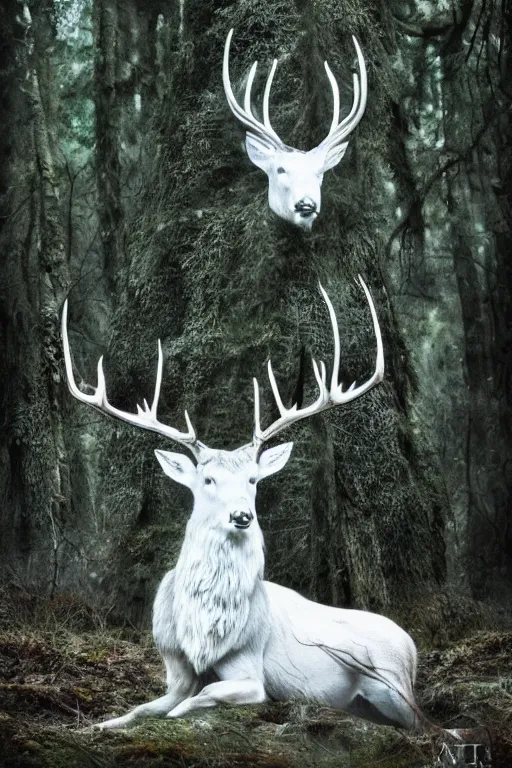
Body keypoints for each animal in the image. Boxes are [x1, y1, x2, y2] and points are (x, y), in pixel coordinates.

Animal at [61, 280, 424, 728]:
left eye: (253, 480)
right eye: (208, 479)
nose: (241, 516)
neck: (203, 633)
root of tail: (413, 647)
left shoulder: (251, 674)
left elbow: (191, 703)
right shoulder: (173, 665)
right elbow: (140, 708)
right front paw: (96, 725)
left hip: (391, 683)